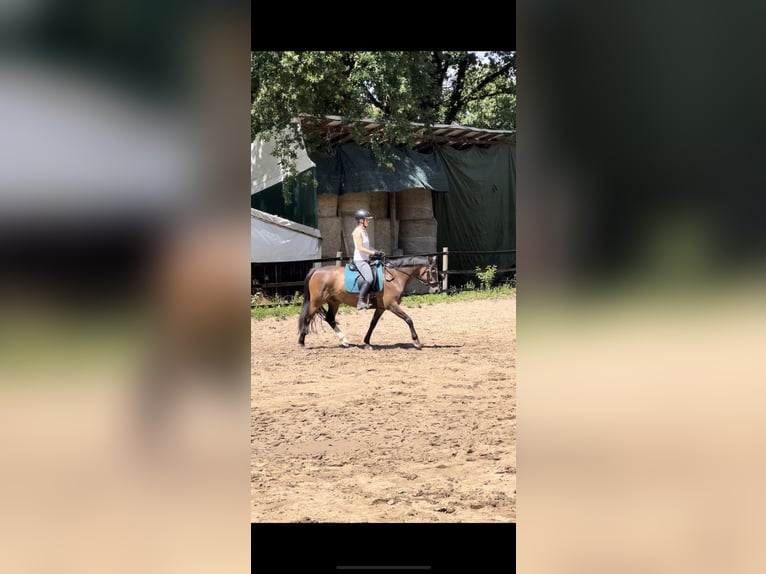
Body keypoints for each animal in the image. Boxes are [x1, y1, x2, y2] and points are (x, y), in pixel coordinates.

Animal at [298, 258, 440, 352]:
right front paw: (416, 341)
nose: (437, 289)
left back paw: (345, 341)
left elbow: (373, 324)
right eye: (433, 270)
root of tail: (317, 270)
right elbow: (408, 319)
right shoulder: (391, 305)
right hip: (316, 302)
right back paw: (301, 342)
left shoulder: (381, 308)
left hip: (334, 302)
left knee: (330, 319)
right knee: (307, 318)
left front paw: (367, 342)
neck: (395, 277)